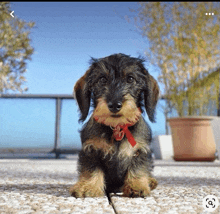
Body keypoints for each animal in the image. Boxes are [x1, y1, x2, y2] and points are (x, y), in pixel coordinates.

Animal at [71, 53, 159, 197]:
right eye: (102, 79)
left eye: (130, 79)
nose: (114, 105)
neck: (117, 127)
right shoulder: (91, 150)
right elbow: (91, 169)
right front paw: (87, 187)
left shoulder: (139, 151)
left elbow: (138, 168)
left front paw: (136, 186)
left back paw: (150, 181)